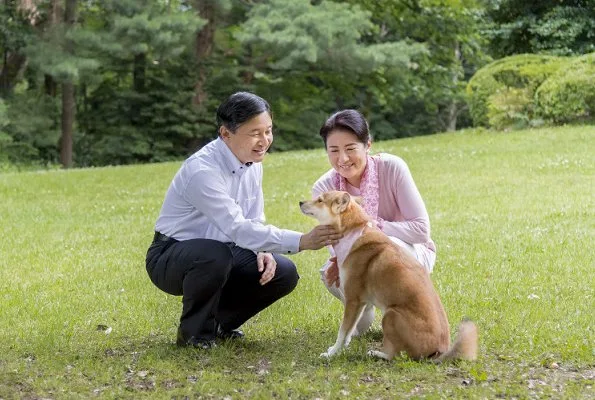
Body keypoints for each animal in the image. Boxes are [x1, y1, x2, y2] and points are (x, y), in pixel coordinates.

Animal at [298, 191, 480, 362]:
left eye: (320, 200)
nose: (300, 202)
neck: (352, 231)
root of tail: (439, 352)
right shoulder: (360, 303)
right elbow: (348, 332)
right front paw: (338, 349)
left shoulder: (353, 300)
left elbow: (342, 332)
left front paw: (332, 354)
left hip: (390, 315)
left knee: (398, 356)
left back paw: (376, 353)